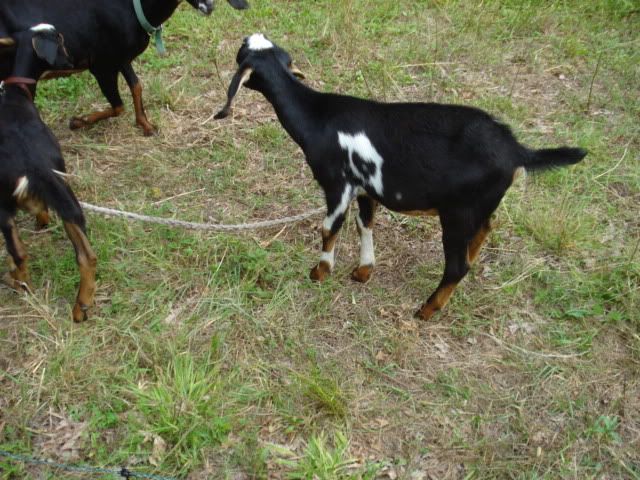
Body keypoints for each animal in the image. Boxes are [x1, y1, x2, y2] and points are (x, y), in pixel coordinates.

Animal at [0, 0, 249, 136]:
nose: (209, 6)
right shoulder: (101, 66)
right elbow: (119, 106)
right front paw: (79, 121)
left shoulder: (122, 59)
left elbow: (136, 87)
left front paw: (146, 125)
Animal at [1, 24, 97, 322]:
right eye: (61, 44)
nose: (75, 61)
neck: (14, 94)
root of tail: (35, 165)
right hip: (66, 197)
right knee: (85, 255)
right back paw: (81, 306)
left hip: (3, 207)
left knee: (19, 253)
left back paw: (17, 282)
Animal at [215, 34, 587, 320]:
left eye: (241, 52)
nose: (244, 36)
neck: (318, 116)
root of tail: (516, 150)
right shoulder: (365, 187)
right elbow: (365, 223)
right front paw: (363, 271)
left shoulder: (337, 184)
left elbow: (329, 228)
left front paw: (319, 273)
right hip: (479, 207)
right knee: (485, 230)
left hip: (458, 213)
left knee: (456, 266)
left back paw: (426, 310)